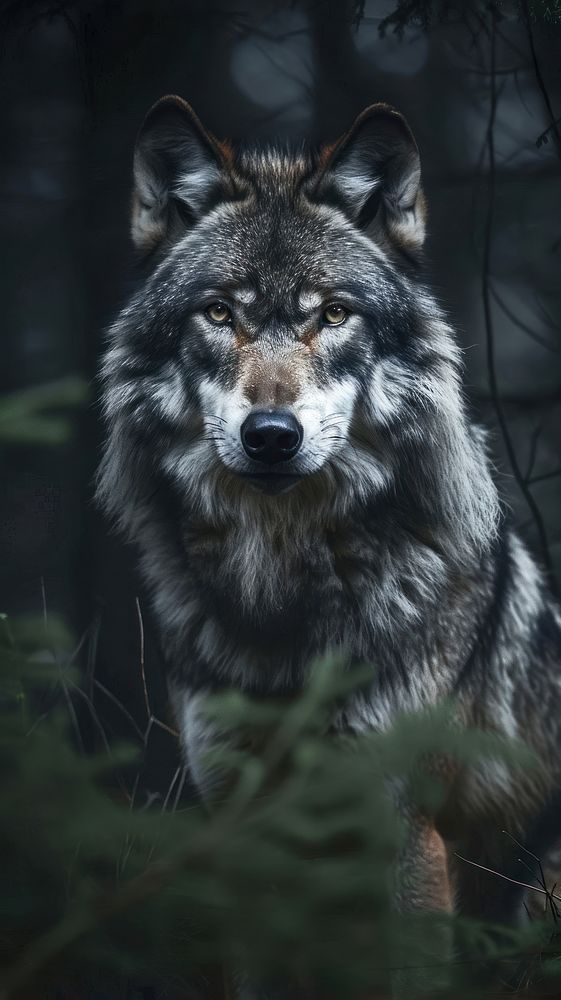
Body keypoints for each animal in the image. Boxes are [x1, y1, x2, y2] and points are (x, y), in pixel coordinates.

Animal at [96, 94, 560, 984]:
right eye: (220, 312)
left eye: (333, 314)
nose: (271, 435)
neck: (281, 587)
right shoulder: (233, 817)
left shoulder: (403, 827)